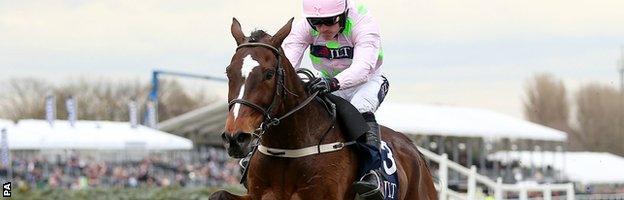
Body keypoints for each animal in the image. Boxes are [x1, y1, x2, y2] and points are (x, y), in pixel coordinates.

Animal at [210, 18, 434, 199]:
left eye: (269, 74)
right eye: (228, 72)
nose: (235, 138)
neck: (289, 148)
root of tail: (414, 149)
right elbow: (217, 194)